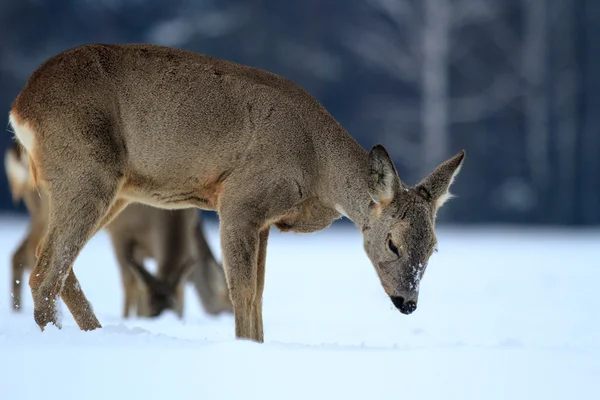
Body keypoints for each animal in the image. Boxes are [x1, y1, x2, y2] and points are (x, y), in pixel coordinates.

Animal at [4, 141, 232, 318]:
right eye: (224, 309)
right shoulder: (121, 232)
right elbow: (129, 283)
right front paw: (129, 318)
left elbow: (175, 288)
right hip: (49, 208)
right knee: (31, 252)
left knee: (19, 253)